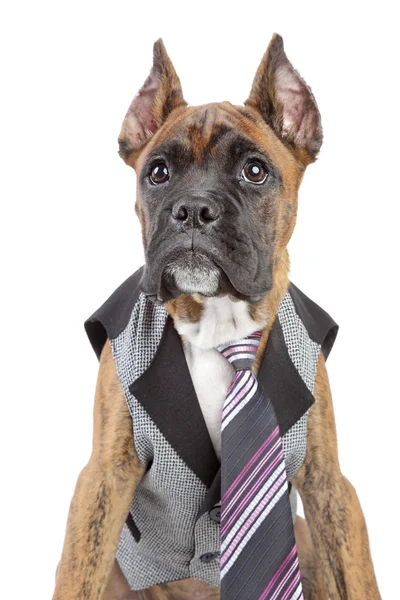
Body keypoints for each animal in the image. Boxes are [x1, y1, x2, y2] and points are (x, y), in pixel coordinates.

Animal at [53, 34, 382, 600]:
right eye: (157, 172)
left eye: (255, 171)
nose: (192, 209)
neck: (217, 325)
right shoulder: (103, 479)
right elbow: (76, 576)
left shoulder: (328, 483)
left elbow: (357, 575)